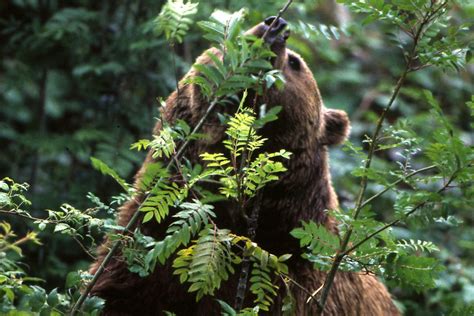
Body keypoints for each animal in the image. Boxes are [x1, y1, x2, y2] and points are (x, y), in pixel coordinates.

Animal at [90, 16, 400, 314]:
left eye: (295, 62)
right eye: (230, 37)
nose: (274, 26)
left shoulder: (295, 284)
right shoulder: (147, 251)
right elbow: (117, 293)